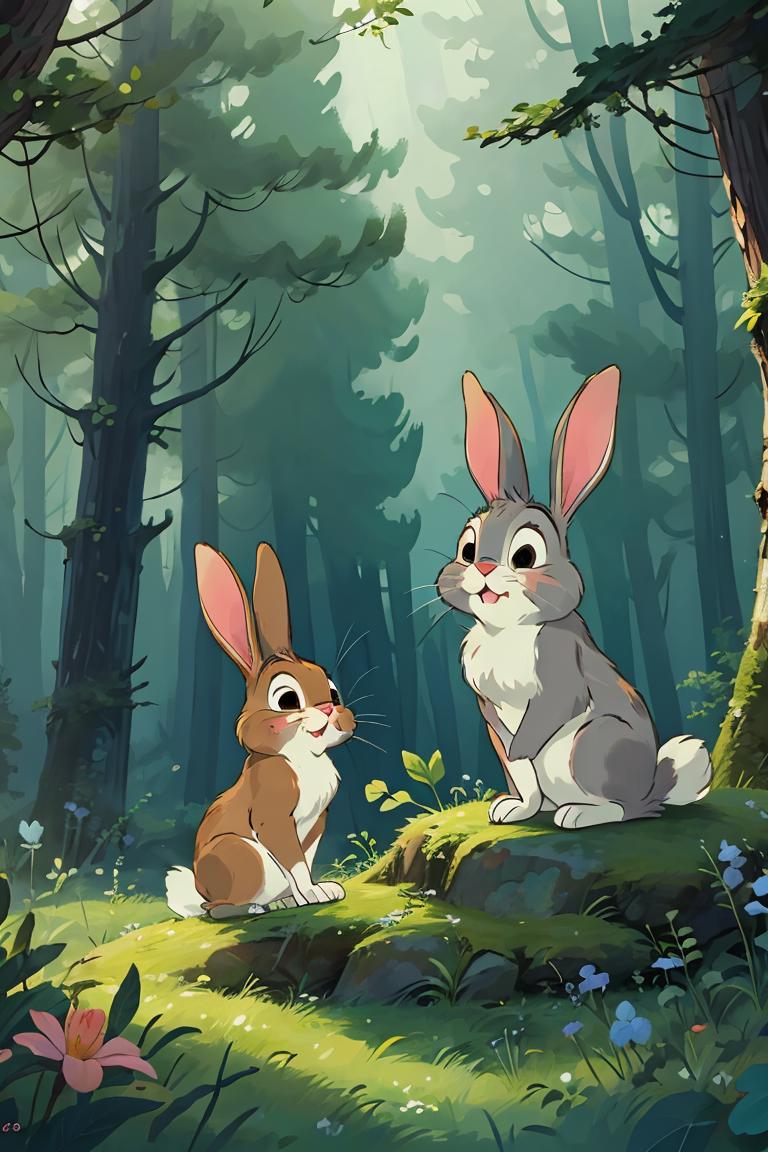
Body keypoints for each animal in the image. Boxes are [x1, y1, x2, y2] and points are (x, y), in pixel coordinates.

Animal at [166, 541, 356, 918]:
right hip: (243, 858)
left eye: (333, 692)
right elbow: (295, 863)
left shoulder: (315, 826)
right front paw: (313, 894)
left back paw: (279, 903)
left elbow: (302, 862)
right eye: (287, 699)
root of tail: (199, 890)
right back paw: (251, 909)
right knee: (216, 908)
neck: (300, 758)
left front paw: (319, 892)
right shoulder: (274, 818)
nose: (329, 710)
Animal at [436, 365, 712, 831]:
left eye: (526, 555)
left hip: (592, 746)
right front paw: (512, 809)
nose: (484, 569)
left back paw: (578, 814)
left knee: (626, 810)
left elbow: (541, 722)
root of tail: (653, 785)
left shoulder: (560, 675)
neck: (508, 631)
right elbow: (519, 771)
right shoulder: (491, 714)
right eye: (467, 549)